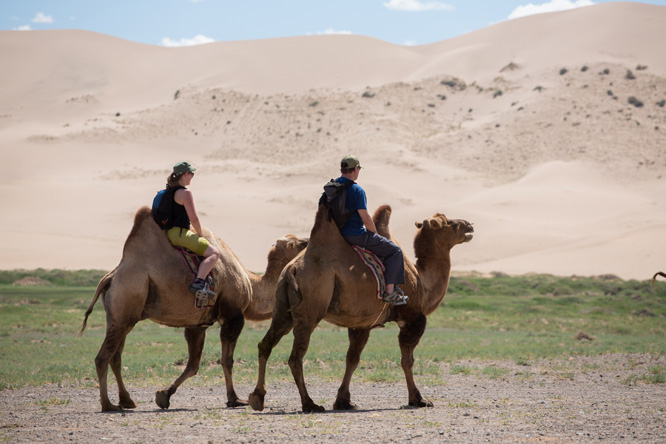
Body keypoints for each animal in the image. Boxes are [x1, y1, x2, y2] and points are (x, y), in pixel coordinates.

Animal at [80, 206, 306, 412]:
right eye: (297, 243)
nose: (307, 243)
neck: (250, 282)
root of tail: (111, 277)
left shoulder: (197, 324)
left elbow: (193, 365)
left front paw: (164, 395)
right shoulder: (232, 316)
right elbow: (227, 361)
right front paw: (235, 399)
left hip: (119, 316)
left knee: (115, 356)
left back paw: (127, 401)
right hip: (127, 301)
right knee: (103, 357)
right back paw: (108, 405)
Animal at [248, 205, 472, 412]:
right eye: (450, 224)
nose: (470, 225)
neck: (422, 282)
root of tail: (291, 269)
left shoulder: (361, 323)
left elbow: (352, 359)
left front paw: (343, 401)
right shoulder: (412, 318)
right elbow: (407, 360)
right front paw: (418, 399)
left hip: (282, 310)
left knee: (265, 345)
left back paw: (257, 398)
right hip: (309, 312)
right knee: (296, 357)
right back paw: (310, 404)